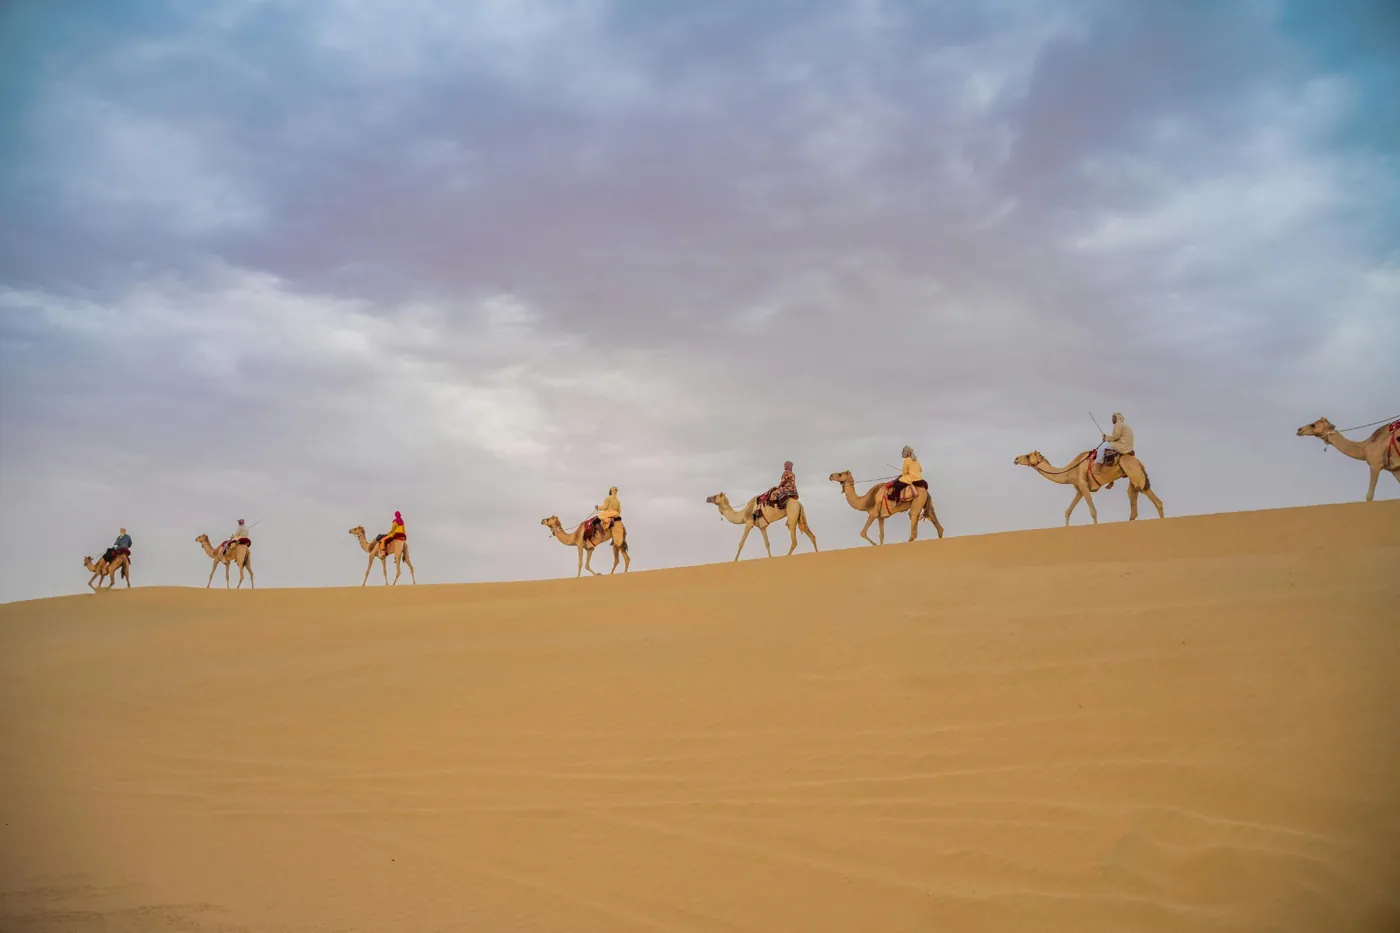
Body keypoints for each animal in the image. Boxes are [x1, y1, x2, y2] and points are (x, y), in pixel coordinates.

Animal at [1014, 449, 1165, 526]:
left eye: (1027, 455)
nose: (1016, 459)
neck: (1070, 471)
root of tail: (1138, 461)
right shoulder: (1079, 490)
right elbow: (1067, 511)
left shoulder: (1084, 486)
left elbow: (1093, 511)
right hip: (1132, 478)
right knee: (1133, 502)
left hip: (1135, 473)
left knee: (1157, 501)